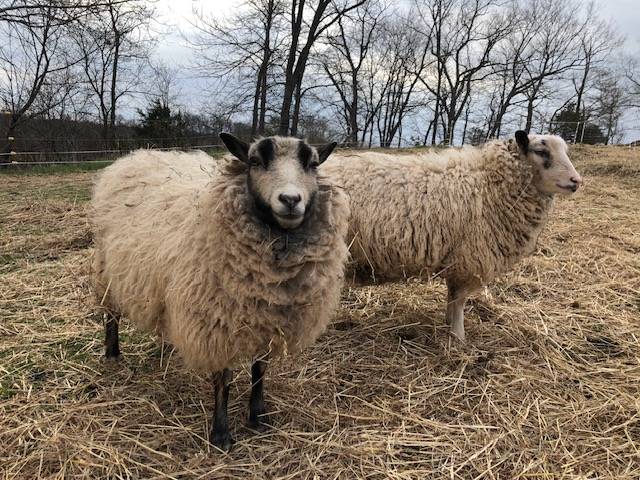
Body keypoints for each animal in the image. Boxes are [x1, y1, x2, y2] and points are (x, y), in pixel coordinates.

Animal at [90, 134, 349, 451]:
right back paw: (112, 353)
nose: (290, 200)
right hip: (106, 270)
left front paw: (257, 416)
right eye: (254, 161)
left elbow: (260, 369)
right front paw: (221, 433)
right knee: (111, 314)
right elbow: (223, 379)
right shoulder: (216, 320)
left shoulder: (267, 318)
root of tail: (136, 155)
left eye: (312, 164)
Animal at [323, 131, 582, 342]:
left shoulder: (459, 259)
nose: (576, 181)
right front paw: (459, 337)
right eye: (541, 151)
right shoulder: (469, 258)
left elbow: (452, 298)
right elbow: (458, 300)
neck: (490, 182)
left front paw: (450, 327)